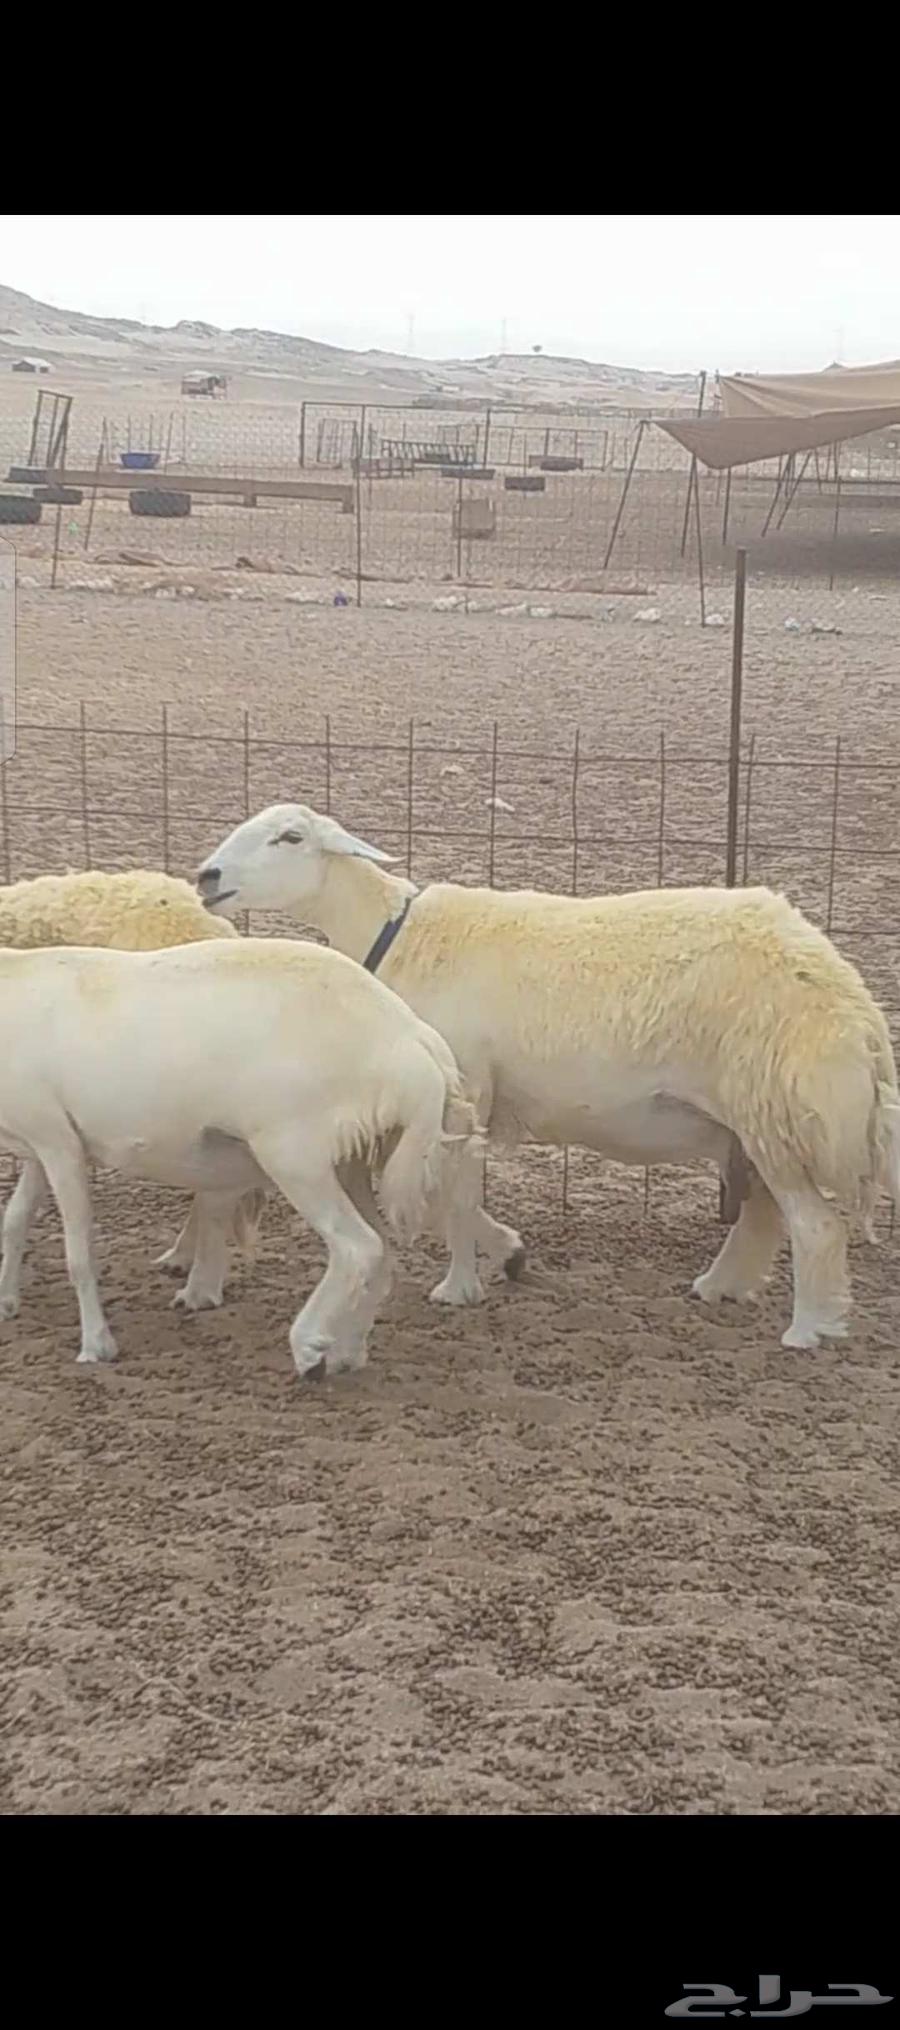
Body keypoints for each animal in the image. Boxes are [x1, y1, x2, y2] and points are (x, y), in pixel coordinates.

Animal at [0, 938, 480, 1373]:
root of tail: (412, 1039)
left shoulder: (59, 1144)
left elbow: (78, 1252)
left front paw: (96, 1346)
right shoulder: (39, 1145)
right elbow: (15, 1219)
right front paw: (7, 1301)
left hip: (294, 1154)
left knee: (357, 1246)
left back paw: (308, 1350)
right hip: (349, 1160)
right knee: (380, 1253)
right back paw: (345, 1354)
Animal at [197, 802, 900, 1351]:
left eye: (290, 837)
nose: (207, 876)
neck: (399, 935)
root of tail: (853, 1005)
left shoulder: (465, 1087)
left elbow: (452, 1197)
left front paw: (461, 1285)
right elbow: (457, 1197)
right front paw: (504, 1255)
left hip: (772, 1105)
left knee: (815, 1225)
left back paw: (806, 1329)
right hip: (759, 1118)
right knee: (764, 1213)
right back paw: (722, 1287)